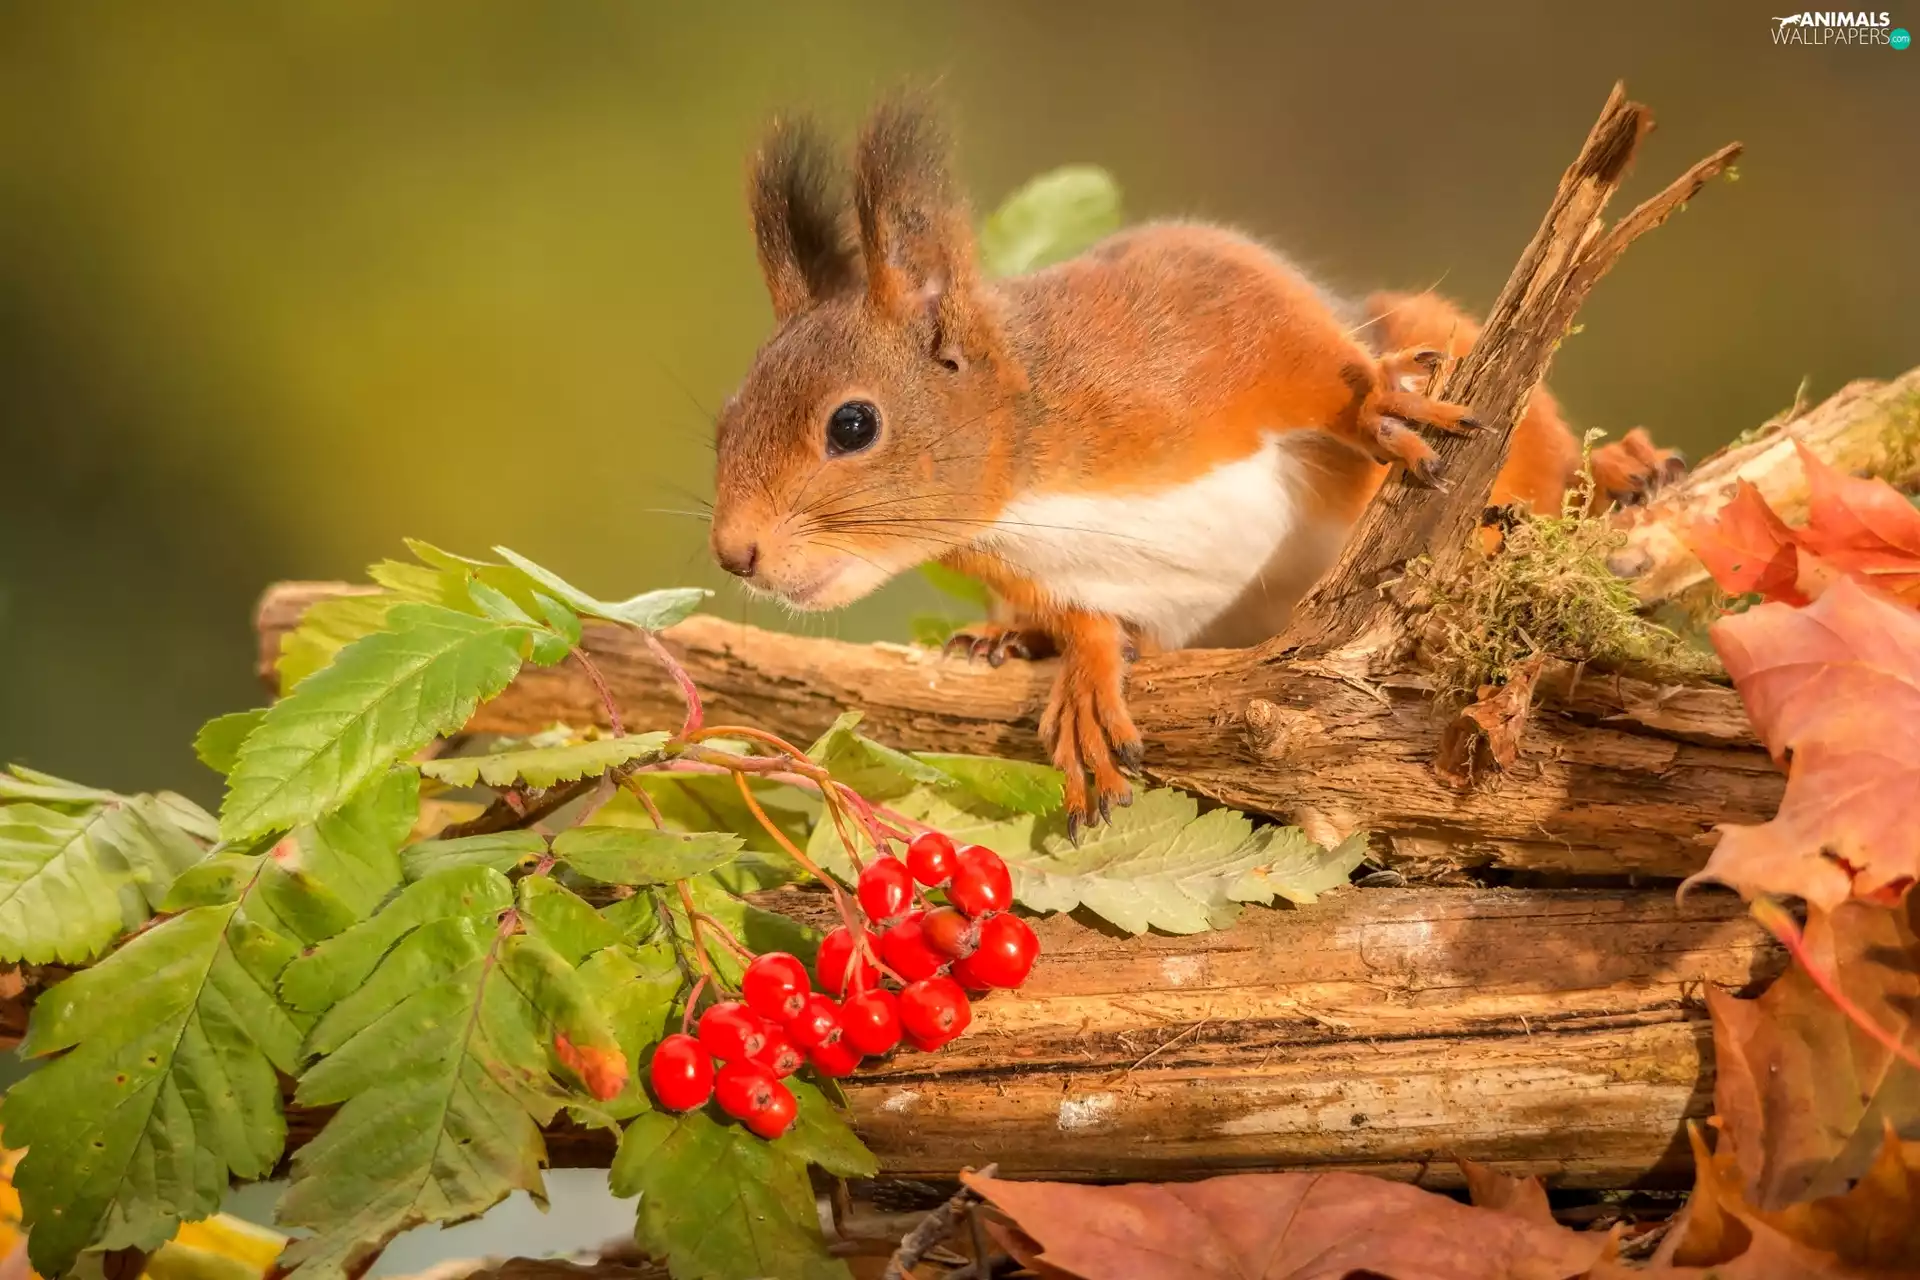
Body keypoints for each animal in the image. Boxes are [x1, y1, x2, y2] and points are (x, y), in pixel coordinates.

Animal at [709, 98, 1684, 832]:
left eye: (852, 424)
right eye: (722, 423)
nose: (735, 554)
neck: (1029, 489)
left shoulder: (1195, 311)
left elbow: (1303, 353)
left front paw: (1373, 405)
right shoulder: (1066, 575)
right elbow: (1091, 620)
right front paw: (1085, 675)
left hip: (1448, 349)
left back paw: (1622, 471)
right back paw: (1004, 639)